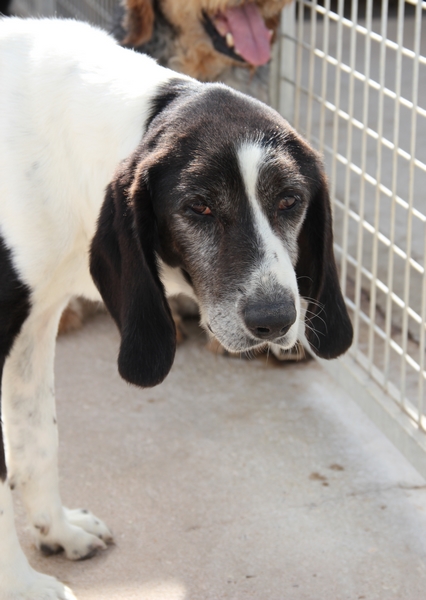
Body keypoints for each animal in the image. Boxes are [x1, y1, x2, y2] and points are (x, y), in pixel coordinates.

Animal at [0, 16, 352, 596]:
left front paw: (58, 530)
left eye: (290, 201)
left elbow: (37, 440)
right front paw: (23, 585)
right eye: (198, 207)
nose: (276, 319)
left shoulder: (35, 325)